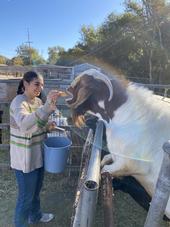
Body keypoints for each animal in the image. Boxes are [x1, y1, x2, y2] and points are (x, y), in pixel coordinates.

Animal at [65, 68, 170, 218]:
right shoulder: (117, 155)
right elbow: (104, 159)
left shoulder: (130, 164)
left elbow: (105, 170)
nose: (67, 87)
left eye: (80, 82)